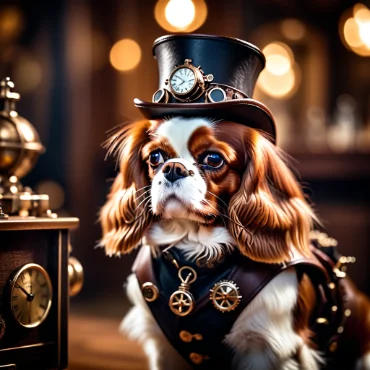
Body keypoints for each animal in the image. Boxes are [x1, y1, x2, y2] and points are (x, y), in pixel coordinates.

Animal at [99, 116, 370, 370]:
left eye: (213, 159)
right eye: (155, 157)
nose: (173, 168)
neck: (195, 260)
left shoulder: (265, 348)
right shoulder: (162, 346)